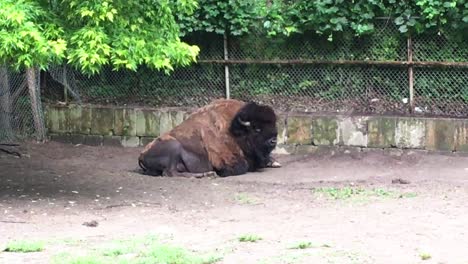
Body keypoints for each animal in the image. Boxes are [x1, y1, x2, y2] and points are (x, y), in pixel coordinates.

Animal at [137, 99, 280, 177]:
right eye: (257, 128)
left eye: (273, 124)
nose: (273, 140)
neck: (233, 130)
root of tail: (141, 155)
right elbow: (242, 166)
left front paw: (275, 162)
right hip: (173, 146)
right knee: (170, 173)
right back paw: (207, 174)